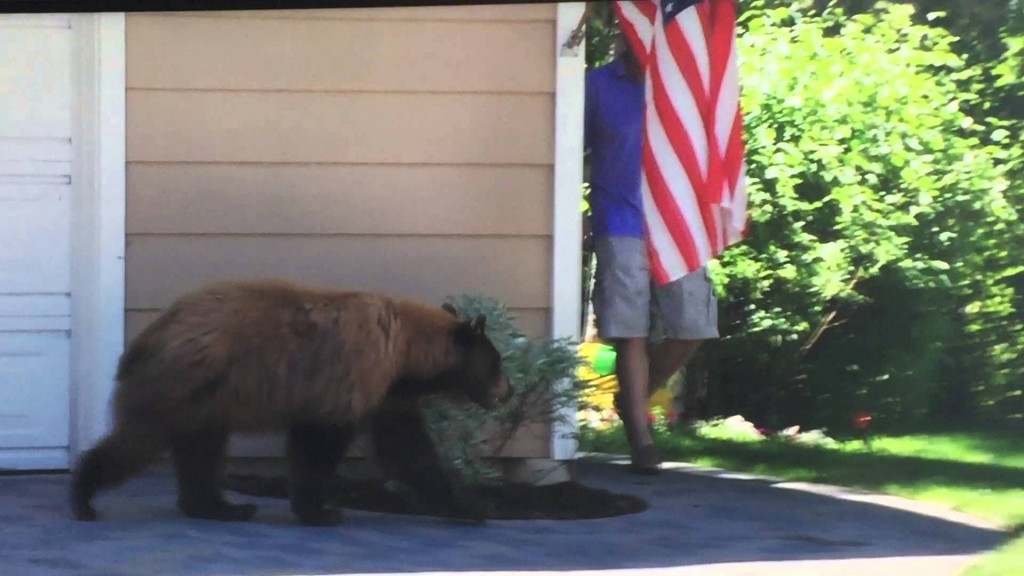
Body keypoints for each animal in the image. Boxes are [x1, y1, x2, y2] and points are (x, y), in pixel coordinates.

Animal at [70, 278, 512, 524]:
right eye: (497, 362)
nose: (507, 391)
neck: (405, 350)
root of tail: (150, 333)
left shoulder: (387, 393)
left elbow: (408, 449)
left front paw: (470, 507)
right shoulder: (352, 378)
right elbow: (320, 445)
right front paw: (322, 511)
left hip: (206, 401)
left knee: (201, 450)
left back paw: (221, 507)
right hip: (180, 385)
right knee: (140, 439)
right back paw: (84, 495)